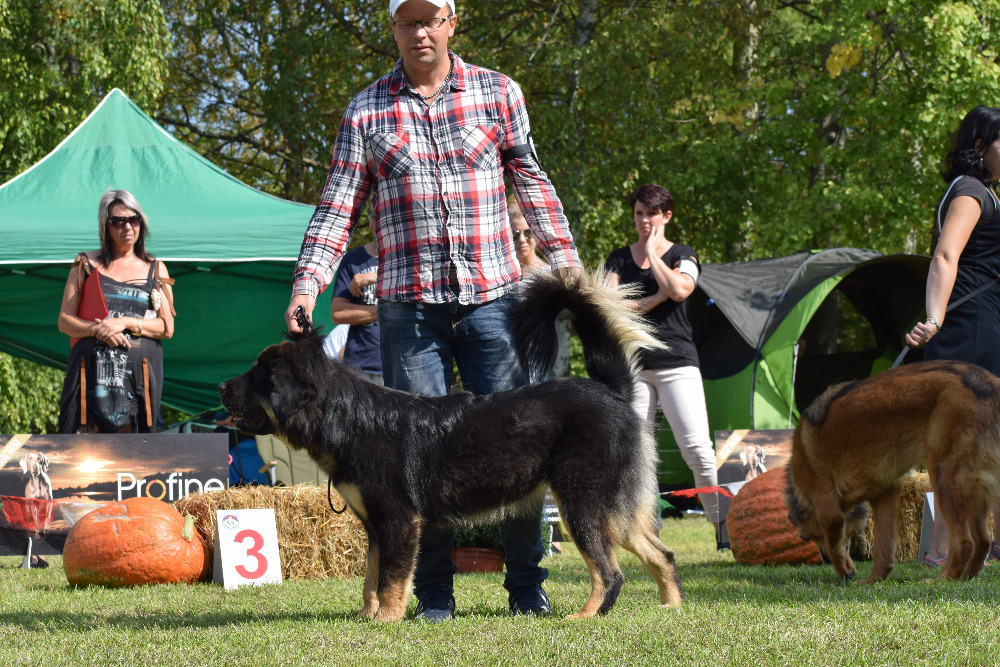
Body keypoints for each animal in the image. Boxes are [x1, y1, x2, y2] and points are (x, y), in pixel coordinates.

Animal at [217, 270, 688, 620]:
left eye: (258, 374)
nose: (221, 385)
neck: (347, 418)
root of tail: (612, 391)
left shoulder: (398, 521)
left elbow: (390, 580)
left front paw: (387, 621)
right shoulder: (375, 526)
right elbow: (371, 580)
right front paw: (368, 618)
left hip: (582, 504)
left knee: (610, 572)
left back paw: (586, 615)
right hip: (616, 508)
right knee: (662, 554)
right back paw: (671, 607)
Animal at [784, 360, 1000, 584]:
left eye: (810, 537)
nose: (823, 559)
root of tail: (988, 383)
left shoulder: (826, 505)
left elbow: (836, 543)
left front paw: (845, 571)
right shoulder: (885, 494)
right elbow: (884, 547)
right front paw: (874, 580)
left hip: (944, 478)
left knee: (965, 542)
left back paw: (943, 579)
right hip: (976, 489)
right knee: (984, 540)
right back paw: (966, 577)